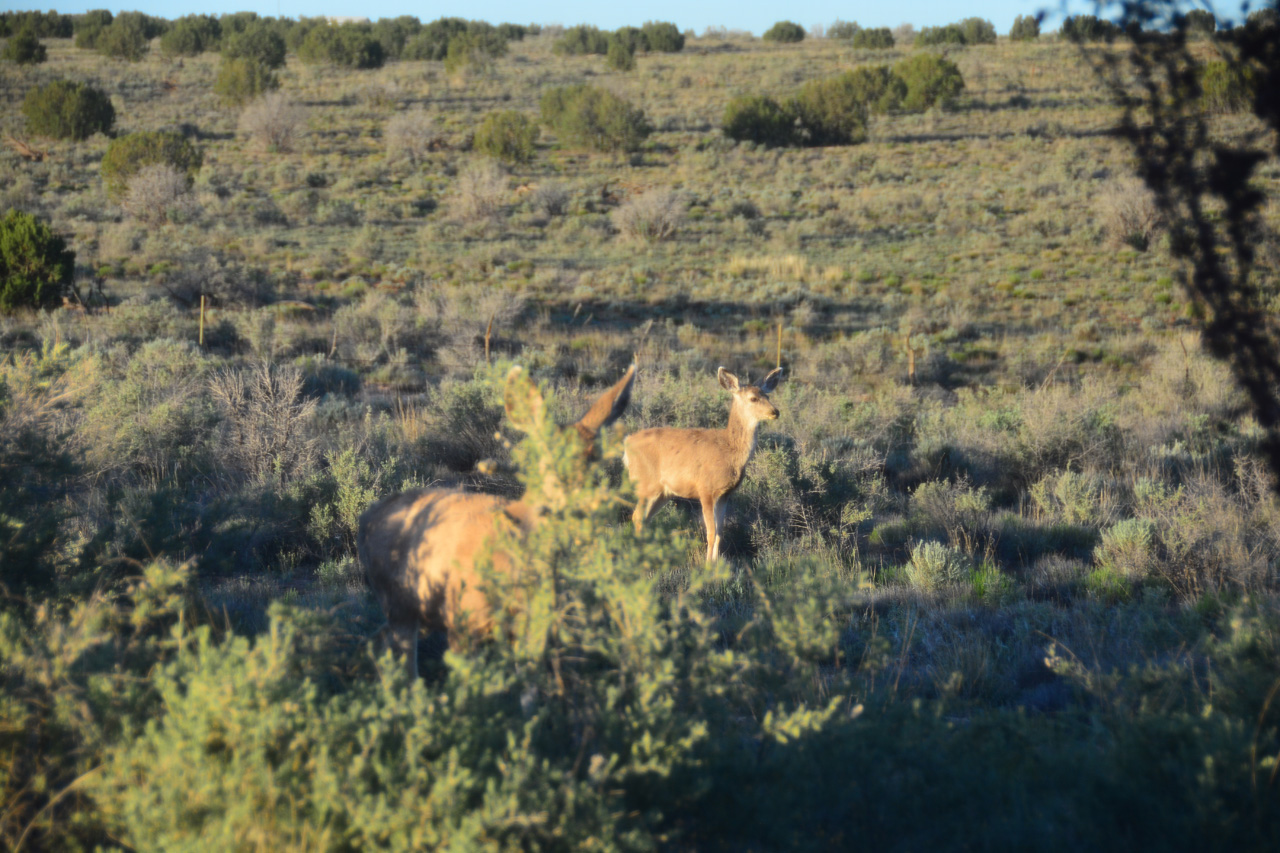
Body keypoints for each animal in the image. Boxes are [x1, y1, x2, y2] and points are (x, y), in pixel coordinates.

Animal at [355, 361, 634, 676]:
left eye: (598, 459)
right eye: (548, 456)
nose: (588, 502)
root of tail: (365, 518)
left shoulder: (533, 628)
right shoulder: (462, 619)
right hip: (397, 599)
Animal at [624, 361, 783, 560]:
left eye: (767, 395)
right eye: (753, 398)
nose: (775, 411)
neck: (730, 452)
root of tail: (626, 443)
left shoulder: (725, 494)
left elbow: (720, 533)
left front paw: (717, 563)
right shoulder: (705, 488)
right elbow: (711, 532)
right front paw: (707, 564)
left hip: (663, 492)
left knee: (644, 518)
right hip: (645, 484)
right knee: (637, 516)